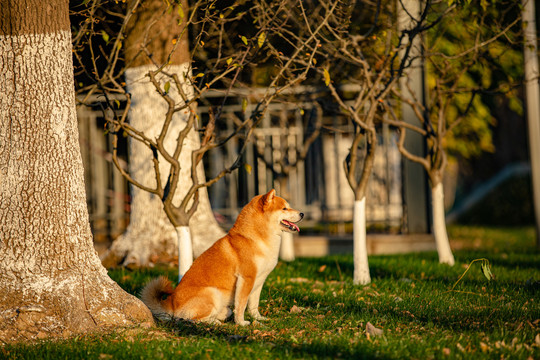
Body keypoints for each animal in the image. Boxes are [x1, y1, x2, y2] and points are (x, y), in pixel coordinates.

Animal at [140, 190, 304, 324]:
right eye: (284, 208)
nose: (302, 214)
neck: (255, 238)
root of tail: (171, 302)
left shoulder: (259, 281)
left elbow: (253, 305)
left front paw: (258, 319)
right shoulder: (246, 278)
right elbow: (241, 305)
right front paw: (242, 323)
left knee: (222, 312)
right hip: (212, 292)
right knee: (191, 319)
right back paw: (214, 323)